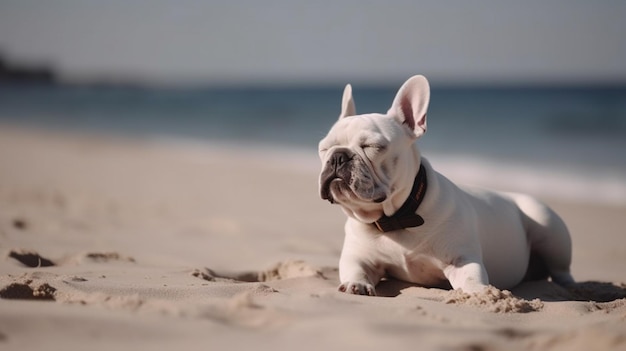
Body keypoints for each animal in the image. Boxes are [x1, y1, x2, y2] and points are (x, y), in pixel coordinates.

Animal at [320, 75, 572, 296]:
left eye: (372, 146)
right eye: (324, 148)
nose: (338, 156)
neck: (398, 218)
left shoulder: (461, 260)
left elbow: (471, 278)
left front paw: (481, 293)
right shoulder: (358, 257)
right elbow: (355, 268)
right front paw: (356, 284)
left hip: (548, 226)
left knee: (561, 270)